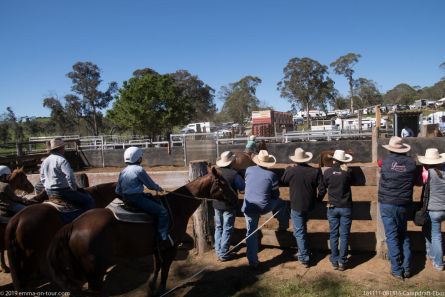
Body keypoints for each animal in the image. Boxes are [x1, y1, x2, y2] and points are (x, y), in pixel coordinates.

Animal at [46, 166, 236, 294]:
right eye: (223, 183)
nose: (234, 198)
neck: (177, 206)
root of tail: (73, 225)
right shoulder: (171, 247)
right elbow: (165, 268)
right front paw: (162, 288)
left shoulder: (156, 247)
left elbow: (157, 266)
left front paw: (152, 286)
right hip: (95, 273)